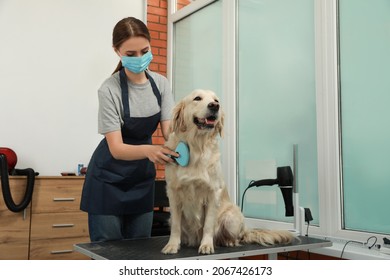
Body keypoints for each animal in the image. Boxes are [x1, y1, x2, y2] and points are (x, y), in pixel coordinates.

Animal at [161, 89, 292, 254]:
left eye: (216, 100)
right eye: (197, 98)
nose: (214, 106)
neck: (197, 147)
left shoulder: (213, 192)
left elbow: (208, 224)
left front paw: (206, 245)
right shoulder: (173, 192)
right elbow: (176, 225)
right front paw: (172, 244)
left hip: (231, 216)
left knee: (236, 237)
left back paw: (228, 241)